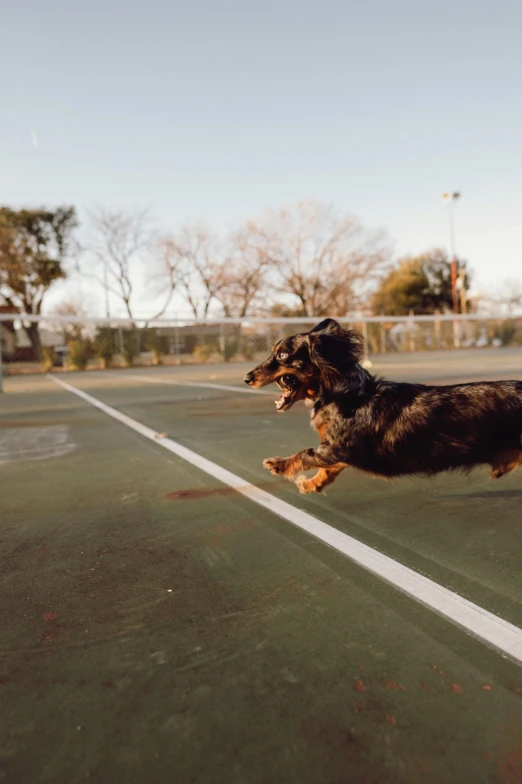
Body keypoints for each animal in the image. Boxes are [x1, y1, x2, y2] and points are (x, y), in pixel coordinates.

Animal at [242, 316, 520, 490]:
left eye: (282, 355)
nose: (246, 378)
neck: (348, 392)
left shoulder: (338, 447)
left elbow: (307, 454)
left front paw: (280, 465)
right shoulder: (343, 451)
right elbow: (328, 468)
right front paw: (312, 484)